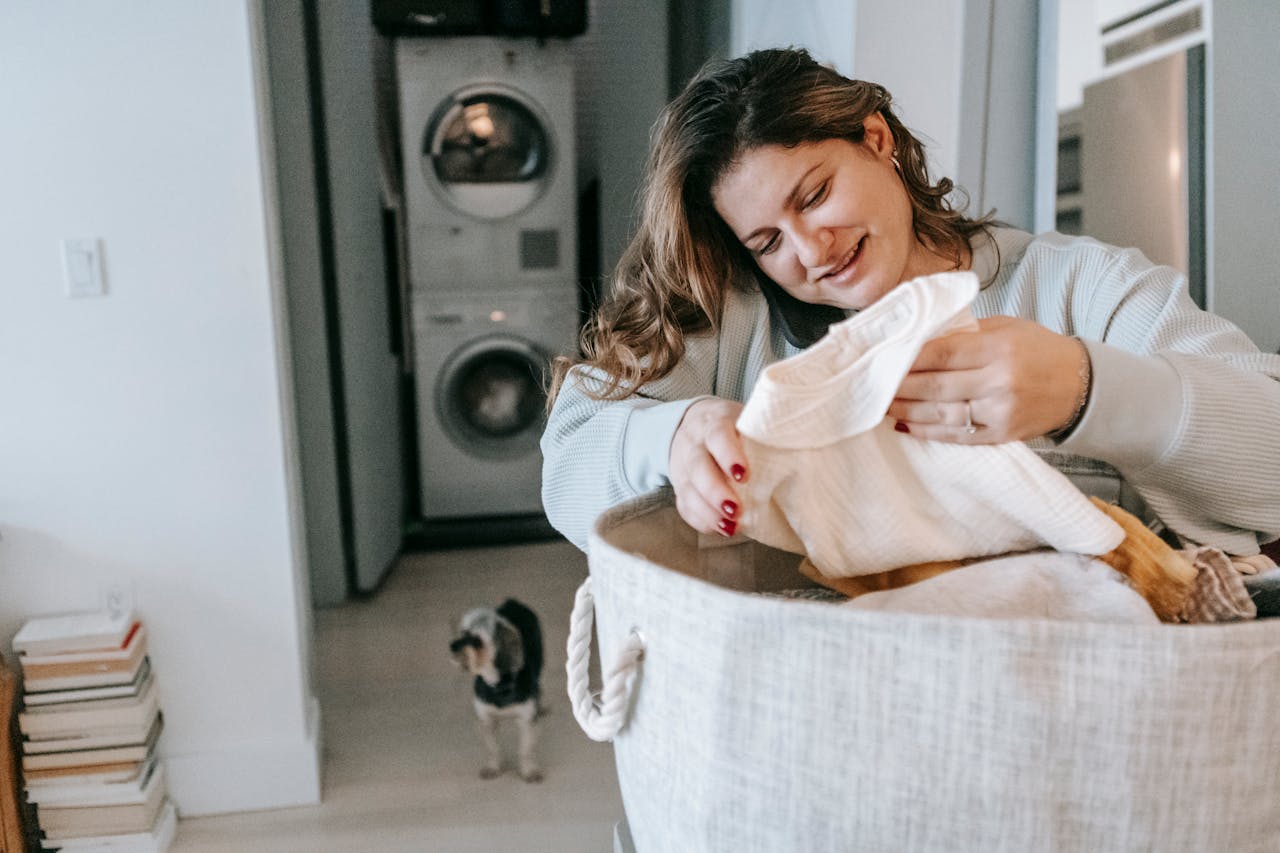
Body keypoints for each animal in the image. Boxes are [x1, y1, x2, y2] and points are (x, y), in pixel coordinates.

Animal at [448, 594, 542, 778]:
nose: (452, 646)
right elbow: (493, 748)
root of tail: (512, 602)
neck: (498, 684)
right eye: (463, 632)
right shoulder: (486, 720)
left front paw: (528, 771)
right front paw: (493, 767)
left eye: (476, 641)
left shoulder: (525, 718)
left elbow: (526, 749)